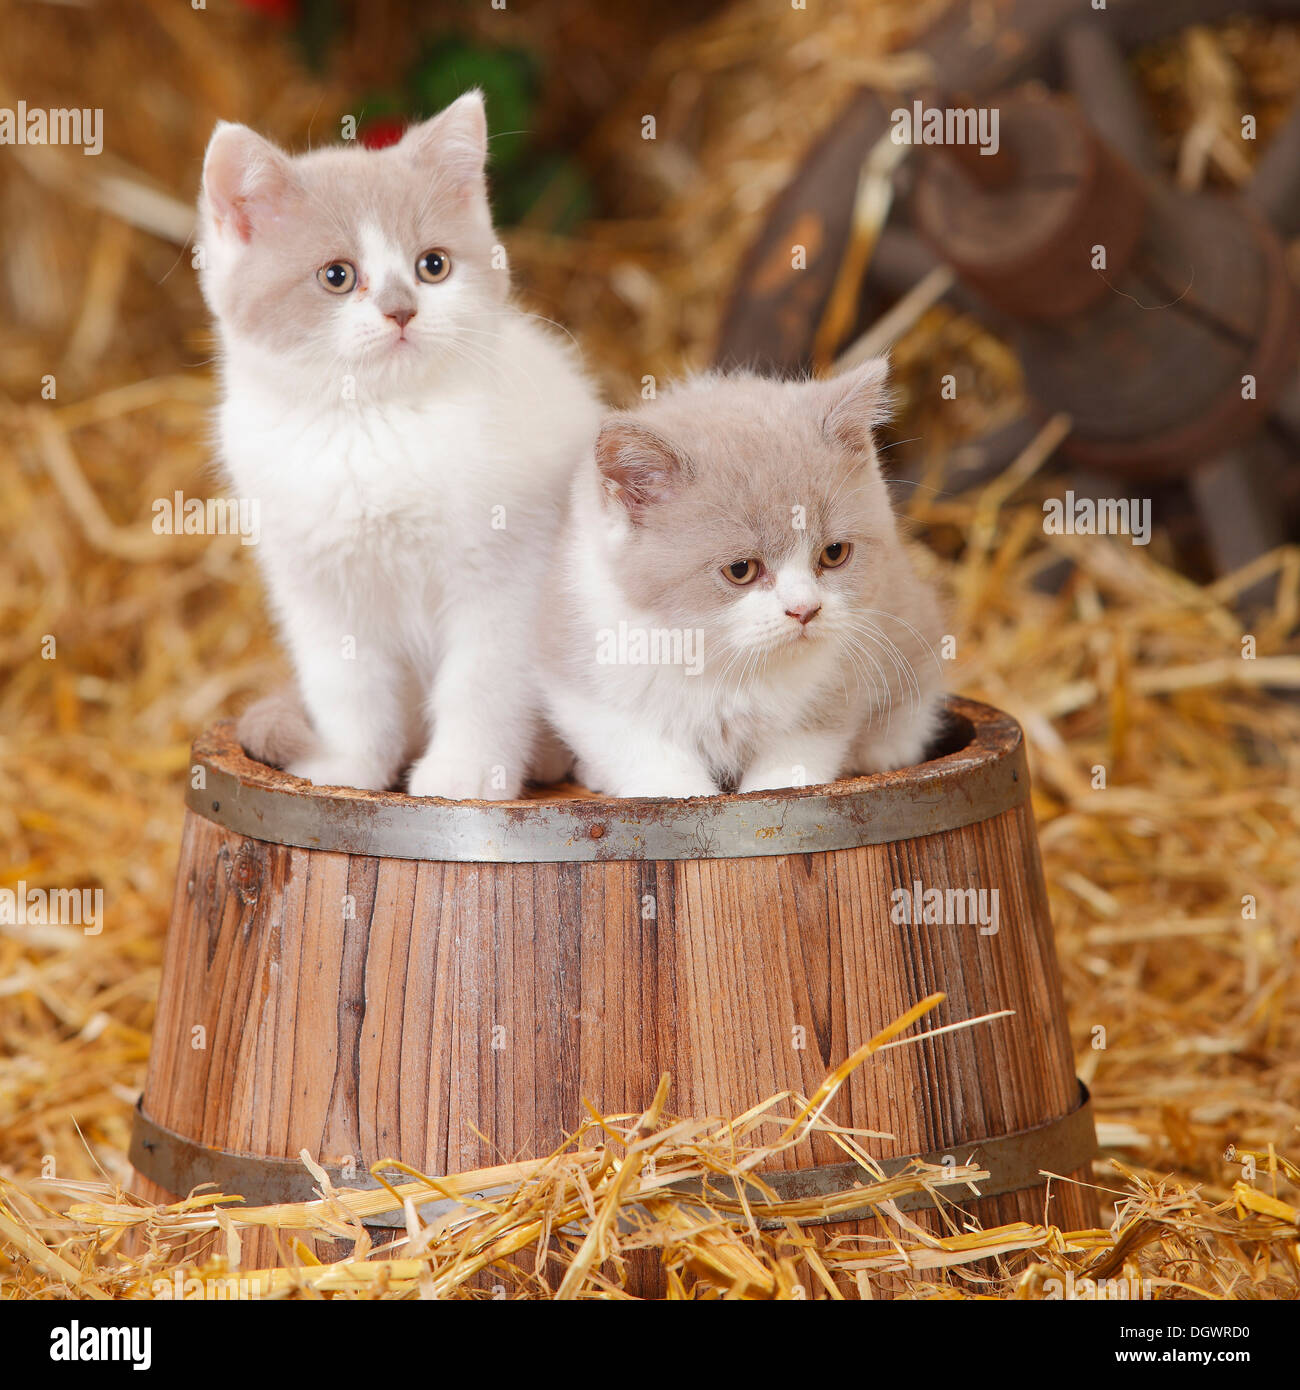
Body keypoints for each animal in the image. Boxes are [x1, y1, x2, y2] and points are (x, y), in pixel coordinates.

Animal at [200, 92, 606, 800]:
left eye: (433, 265)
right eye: (337, 276)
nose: (400, 309)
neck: (374, 424)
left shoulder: (506, 575)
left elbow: (482, 684)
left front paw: (463, 779)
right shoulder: (316, 586)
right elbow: (348, 686)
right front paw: (347, 768)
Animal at [539, 358, 945, 800]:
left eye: (834, 553)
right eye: (741, 570)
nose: (805, 610)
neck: (722, 663)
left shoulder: (840, 674)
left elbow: (799, 750)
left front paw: (779, 786)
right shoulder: (582, 665)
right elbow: (644, 755)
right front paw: (676, 789)